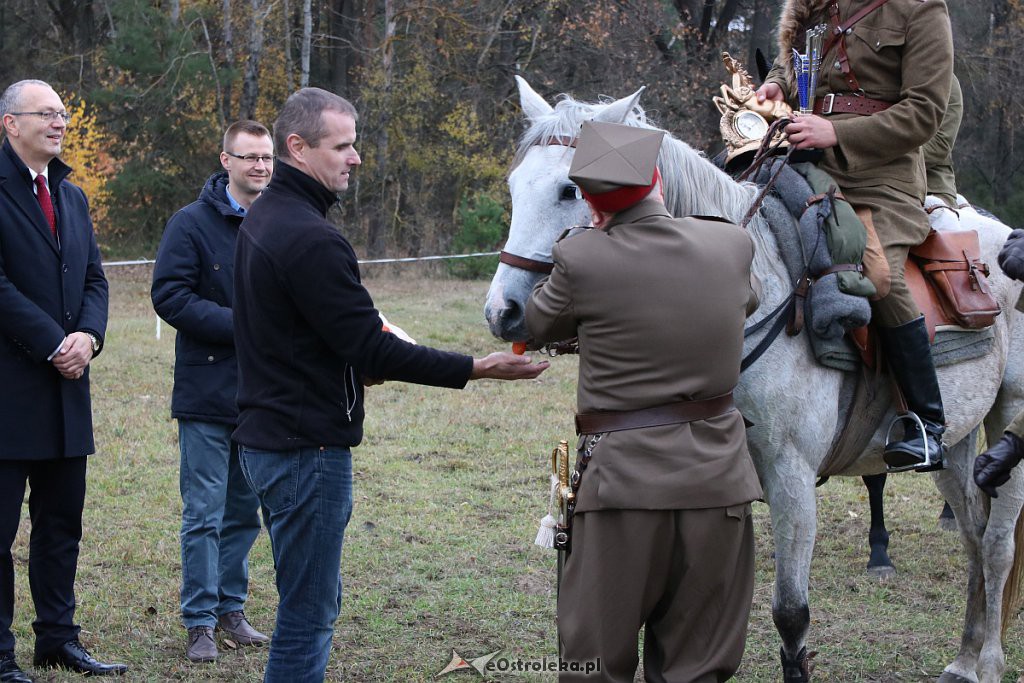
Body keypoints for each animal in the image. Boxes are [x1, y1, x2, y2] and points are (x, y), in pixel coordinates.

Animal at [485, 77, 1024, 683]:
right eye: (515, 187)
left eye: (569, 190)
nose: (503, 312)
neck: (752, 287)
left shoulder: (791, 477)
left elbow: (790, 614)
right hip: (956, 443)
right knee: (974, 535)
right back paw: (965, 656)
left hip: (1008, 421)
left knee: (997, 545)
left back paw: (990, 660)